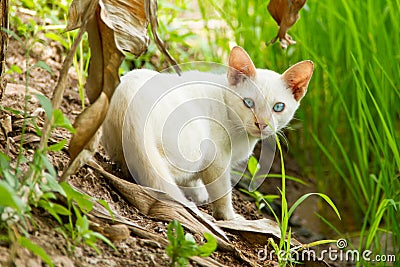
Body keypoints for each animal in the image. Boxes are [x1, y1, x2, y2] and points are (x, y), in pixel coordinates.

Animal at [101, 46, 314, 221]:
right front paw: (228, 217)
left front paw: (199, 192)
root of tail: (132, 109)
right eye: (248, 103)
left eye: (278, 107)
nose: (261, 123)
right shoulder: (217, 159)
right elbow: (222, 192)